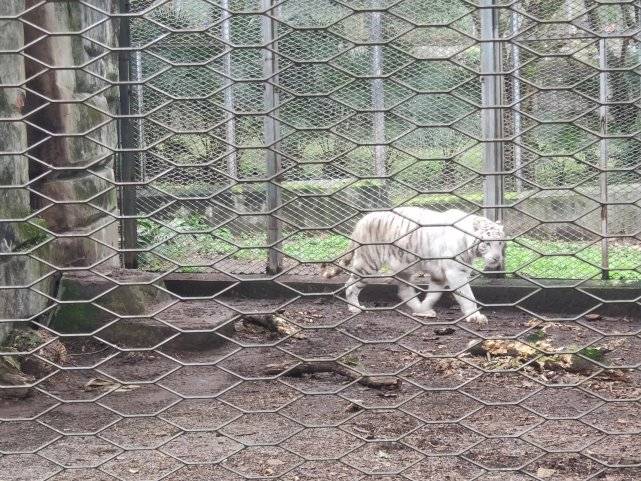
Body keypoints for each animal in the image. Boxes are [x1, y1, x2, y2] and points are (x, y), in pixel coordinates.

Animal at [320, 205, 504, 322]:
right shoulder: (455, 272)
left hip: (403, 266)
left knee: (404, 291)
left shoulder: (440, 275)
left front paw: (425, 308)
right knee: (350, 285)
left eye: (501, 242)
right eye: (487, 243)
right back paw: (354, 308)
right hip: (368, 264)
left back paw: (420, 309)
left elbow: (433, 294)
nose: (497, 258)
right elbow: (466, 294)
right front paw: (475, 316)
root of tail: (360, 222)